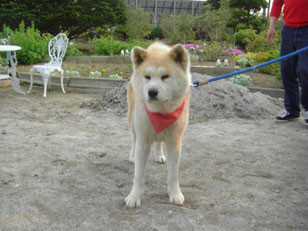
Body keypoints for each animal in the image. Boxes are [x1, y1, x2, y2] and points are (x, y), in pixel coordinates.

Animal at [125, 42, 190, 208]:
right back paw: (132, 156)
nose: (152, 92)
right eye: (147, 77)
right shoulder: (143, 140)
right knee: (133, 140)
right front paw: (134, 196)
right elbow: (138, 175)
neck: (161, 112)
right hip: (133, 123)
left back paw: (159, 155)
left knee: (159, 141)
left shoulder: (175, 142)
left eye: (165, 77)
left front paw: (175, 194)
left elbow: (173, 175)